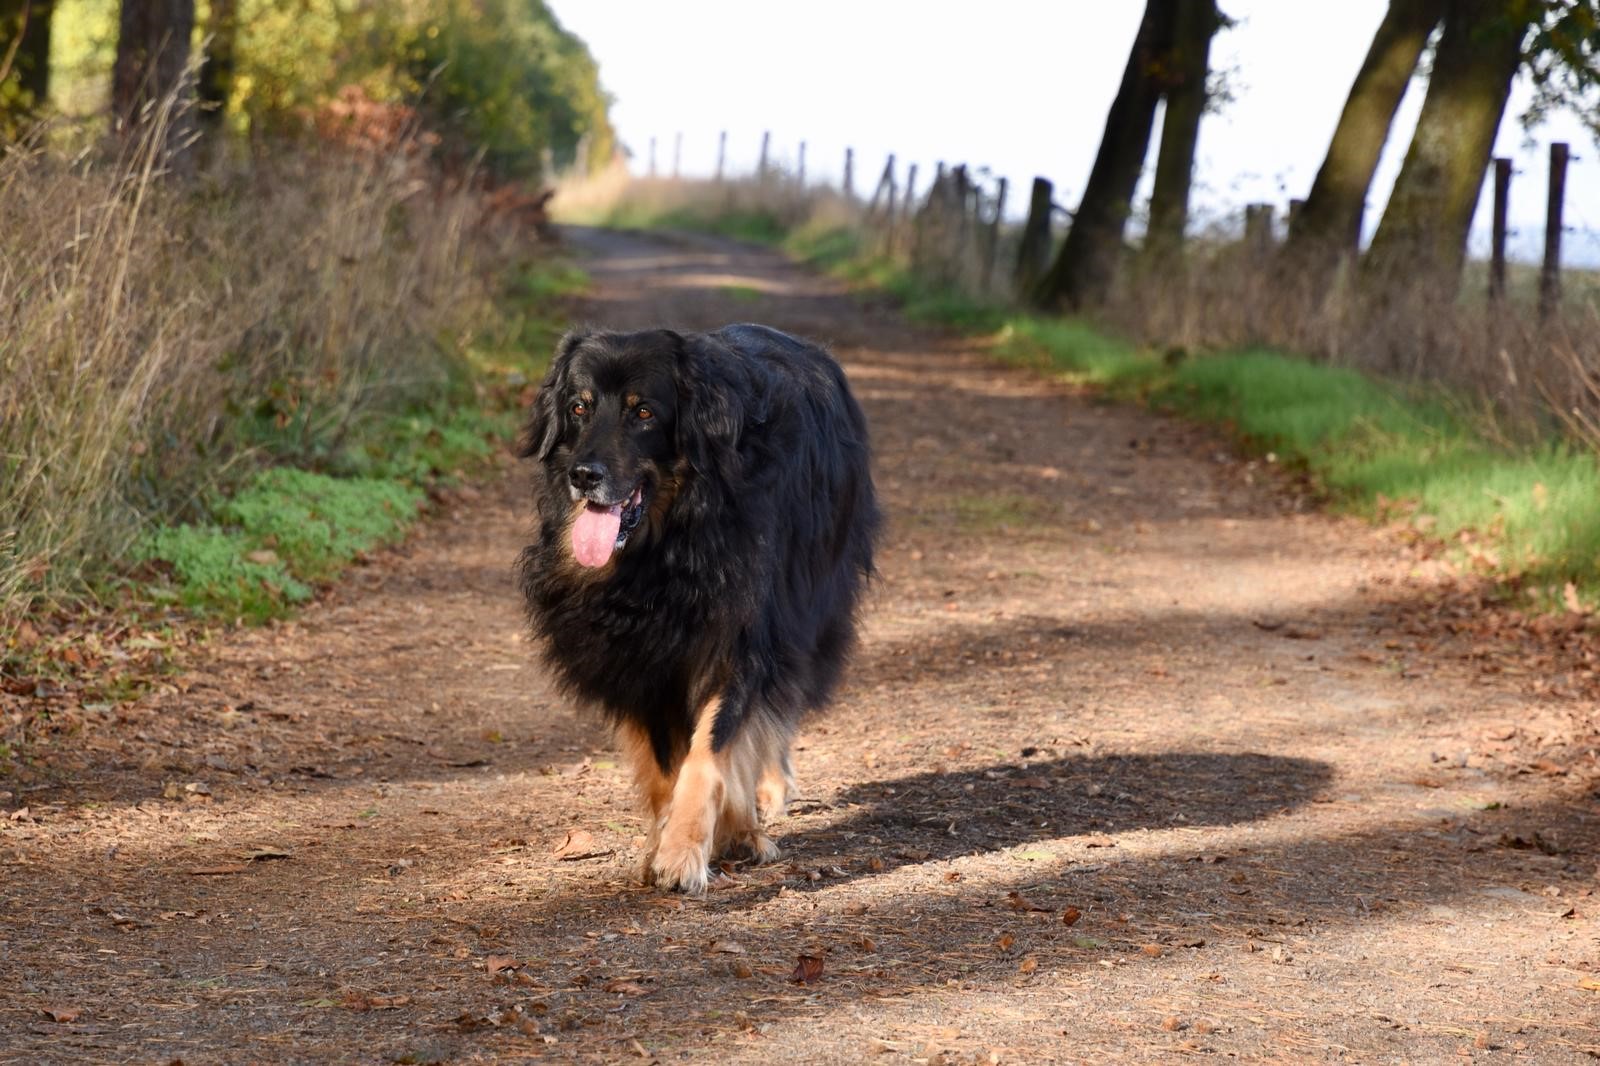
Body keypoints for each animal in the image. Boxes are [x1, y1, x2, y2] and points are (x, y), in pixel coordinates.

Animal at [518, 321, 883, 889]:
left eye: (644, 412)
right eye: (578, 407)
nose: (583, 475)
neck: (671, 542)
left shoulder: (741, 636)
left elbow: (710, 750)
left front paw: (687, 850)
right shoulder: (639, 654)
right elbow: (667, 763)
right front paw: (675, 836)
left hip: (810, 605)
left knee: (778, 706)